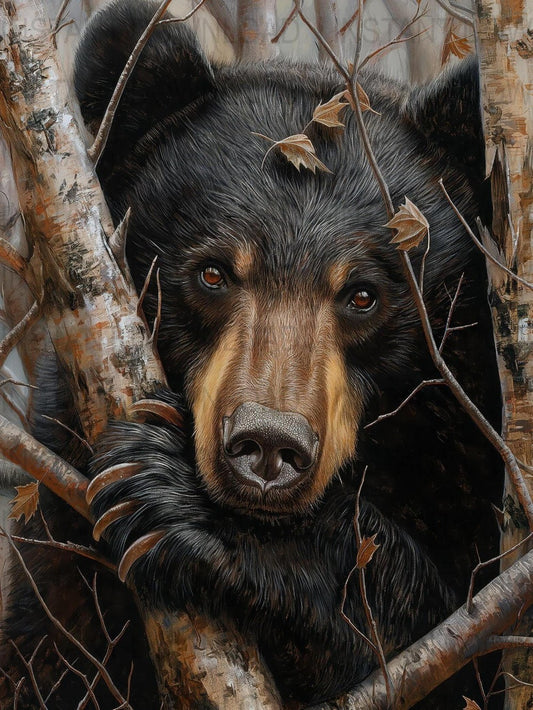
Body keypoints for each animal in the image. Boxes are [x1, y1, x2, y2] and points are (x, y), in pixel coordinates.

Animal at [0, 0, 503, 707]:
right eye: (213, 273)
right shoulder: (59, 535)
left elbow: (454, 647)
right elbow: (53, 655)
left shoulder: (475, 456)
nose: (267, 445)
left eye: (364, 294)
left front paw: (172, 496)